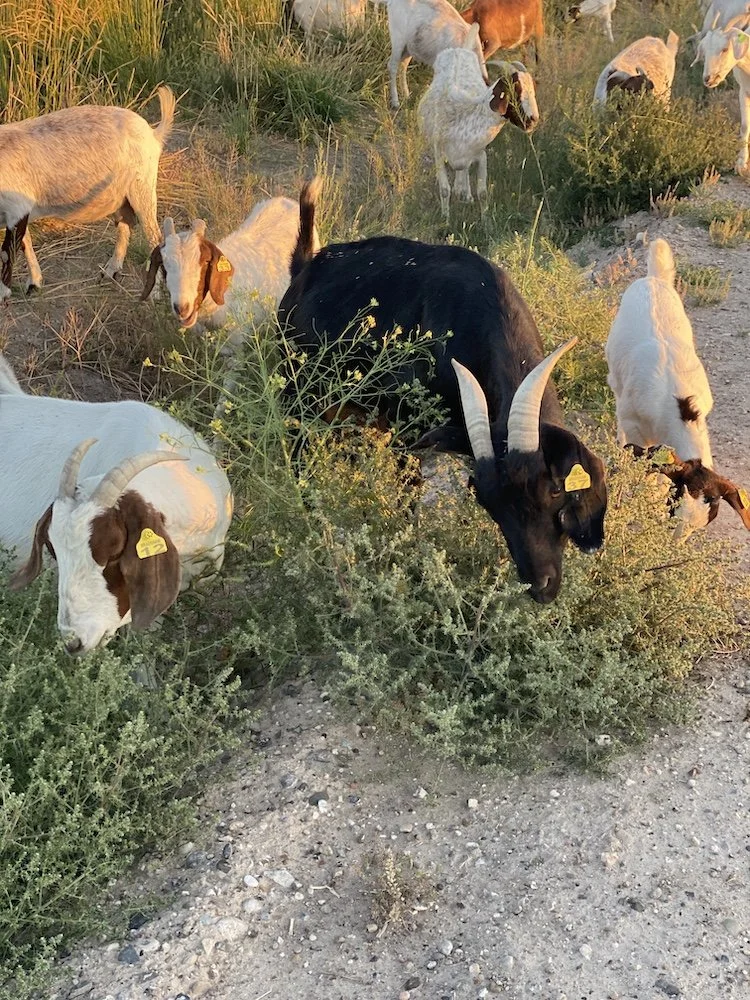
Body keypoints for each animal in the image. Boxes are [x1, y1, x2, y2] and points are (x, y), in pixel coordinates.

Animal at [0, 87, 175, 299]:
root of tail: (153, 133)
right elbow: (24, 241)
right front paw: (34, 283)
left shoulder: (17, 206)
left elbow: (10, 250)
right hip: (121, 195)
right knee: (125, 225)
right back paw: (110, 272)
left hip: (143, 186)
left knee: (154, 237)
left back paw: (153, 293)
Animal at [277, 179, 608, 603]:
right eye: (491, 503)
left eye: (553, 491)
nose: (540, 586)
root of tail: (304, 268)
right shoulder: (407, 433)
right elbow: (408, 496)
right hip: (298, 402)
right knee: (299, 462)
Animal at [418, 28, 539, 217]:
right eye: (516, 90)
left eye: (532, 90)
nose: (534, 119)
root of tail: (460, 50)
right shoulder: (439, 153)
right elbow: (444, 190)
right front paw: (445, 218)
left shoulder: (481, 155)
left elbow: (482, 193)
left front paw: (486, 219)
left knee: (463, 171)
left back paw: (464, 193)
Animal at [605, 238, 750, 540]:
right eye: (673, 508)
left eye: (698, 527)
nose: (673, 544)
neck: (675, 404)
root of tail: (653, 278)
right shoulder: (635, 425)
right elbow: (644, 460)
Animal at [692, 13, 750, 174]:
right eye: (704, 52)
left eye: (725, 49)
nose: (708, 78)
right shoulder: (744, 91)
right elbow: (745, 126)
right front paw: (741, 164)